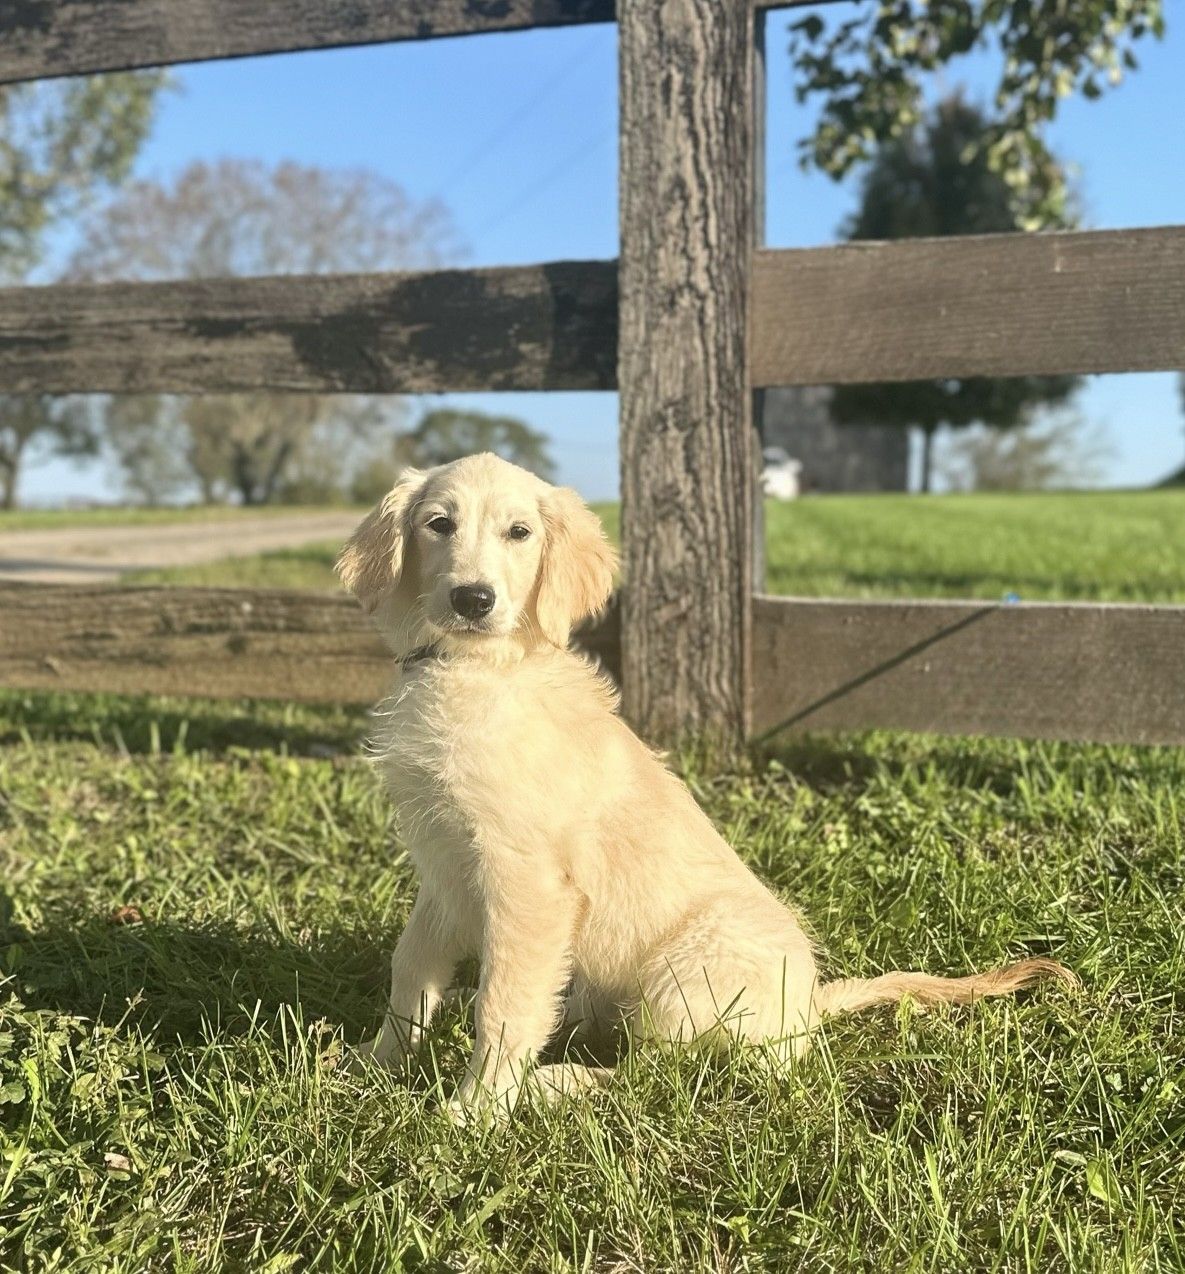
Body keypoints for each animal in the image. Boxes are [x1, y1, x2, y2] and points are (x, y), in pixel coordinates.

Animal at [336, 453, 1075, 1110]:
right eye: (439, 524)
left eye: (519, 532)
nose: (472, 599)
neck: (475, 671)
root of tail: (808, 1009)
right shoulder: (445, 869)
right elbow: (411, 966)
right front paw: (378, 1060)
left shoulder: (529, 885)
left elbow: (507, 1005)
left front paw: (474, 1112)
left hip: (681, 976)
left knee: (657, 1073)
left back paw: (556, 1085)